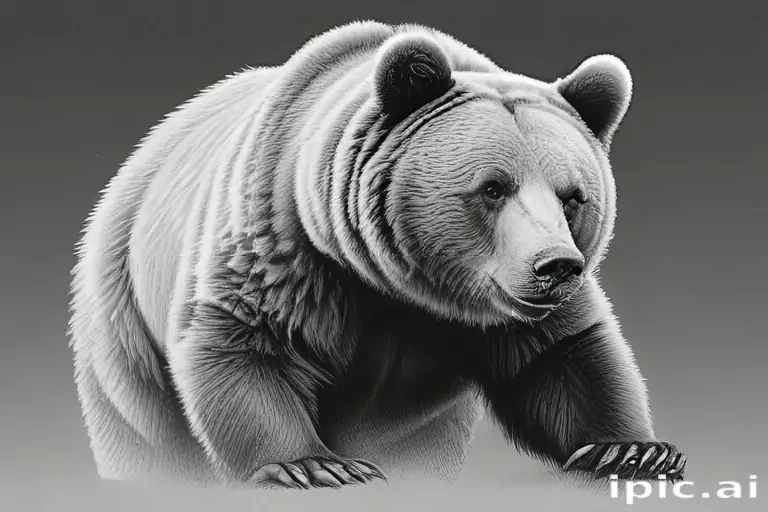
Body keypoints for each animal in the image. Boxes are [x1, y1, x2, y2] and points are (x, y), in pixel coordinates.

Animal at [68, 20, 687, 489]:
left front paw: (635, 452)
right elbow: (245, 341)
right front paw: (313, 466)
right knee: (144, 425)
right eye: (493, 188)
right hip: (123, 316)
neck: (397, 287)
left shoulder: (503, 316)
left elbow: (564, 357)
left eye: (573, 196)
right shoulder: (284, 246)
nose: (556, 266)